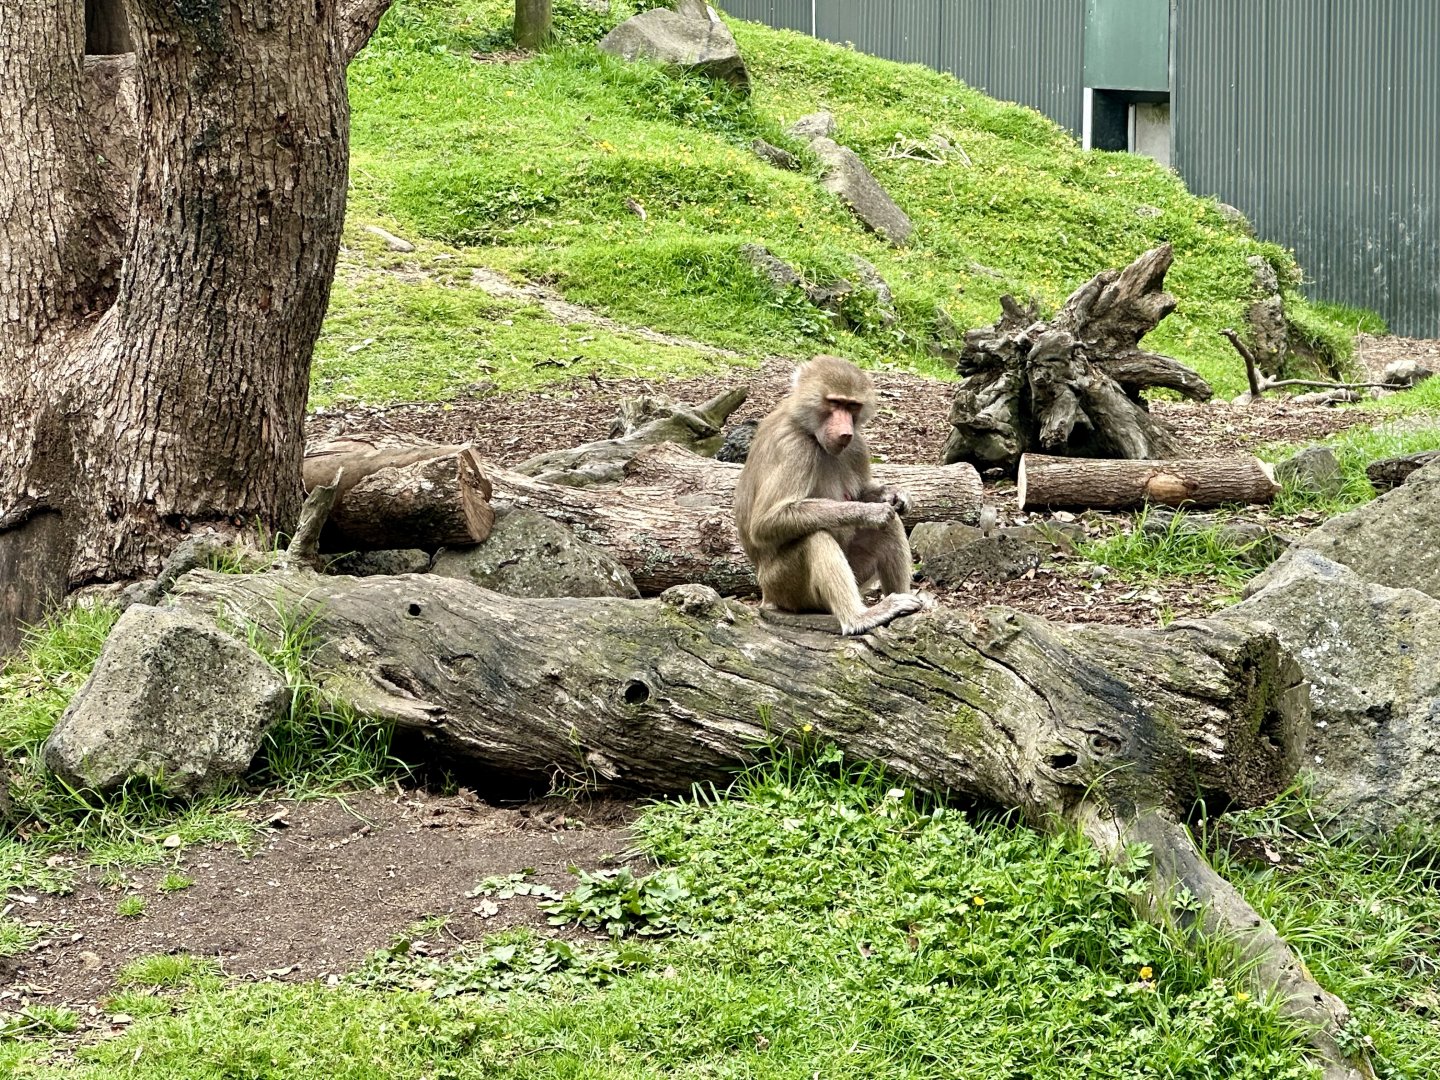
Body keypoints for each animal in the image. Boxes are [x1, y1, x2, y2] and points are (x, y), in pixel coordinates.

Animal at [734, 355, 923, 636]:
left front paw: (894, 495)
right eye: (834, 403)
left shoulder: (857, 446)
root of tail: (767, 596)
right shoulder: (794, 448)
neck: (809, 431)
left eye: (852, 406)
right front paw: (870, 512)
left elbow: (865, 493)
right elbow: (766, 522)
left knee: (890, 527)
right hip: (785, 588)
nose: (845, 432)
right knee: (815, 537)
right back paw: (860, 617)